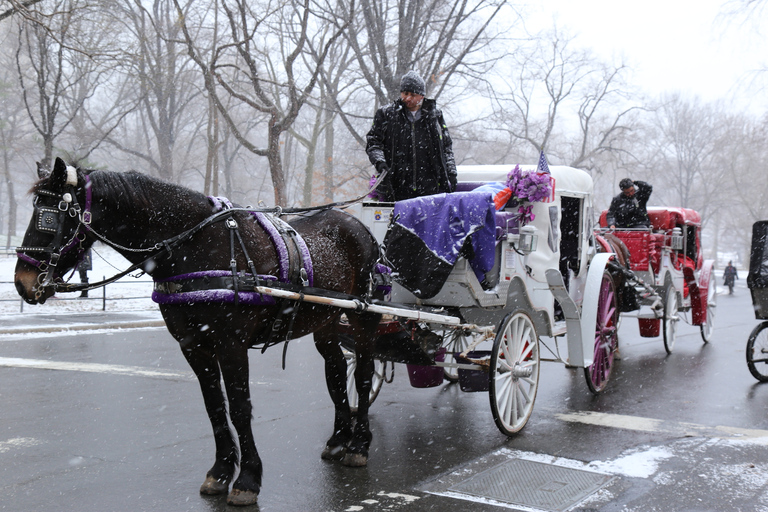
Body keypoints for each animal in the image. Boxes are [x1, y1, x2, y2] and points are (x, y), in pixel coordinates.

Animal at [13, 157, 382, 508]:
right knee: (336, 371)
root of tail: (359, 226)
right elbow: (214, 407)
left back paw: (359, 445)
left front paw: (247, 480)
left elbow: (240, 408)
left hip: (364, 320)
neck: (196, 247)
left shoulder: (231, 344)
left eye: (49, 218)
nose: (21, 282)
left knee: (363, 375)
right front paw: (220, 472)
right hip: (327, 321)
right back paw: (339, 440)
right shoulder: (194, 346)